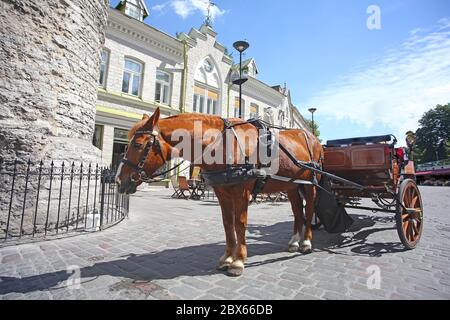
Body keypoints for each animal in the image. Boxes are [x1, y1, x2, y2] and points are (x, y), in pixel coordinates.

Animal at [114, 108, 322, 278]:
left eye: (138, 145)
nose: (118, 180)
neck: (223, 144)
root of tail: (312, 138)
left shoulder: (241, 191)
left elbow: (239, 224)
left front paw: (238, 261)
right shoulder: (222, 192)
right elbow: (228, 224)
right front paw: (227, 258)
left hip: (310, 184)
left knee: (310, 209)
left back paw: (306, 242)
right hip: (292, 187)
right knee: (297, 212)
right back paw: (294, 241)